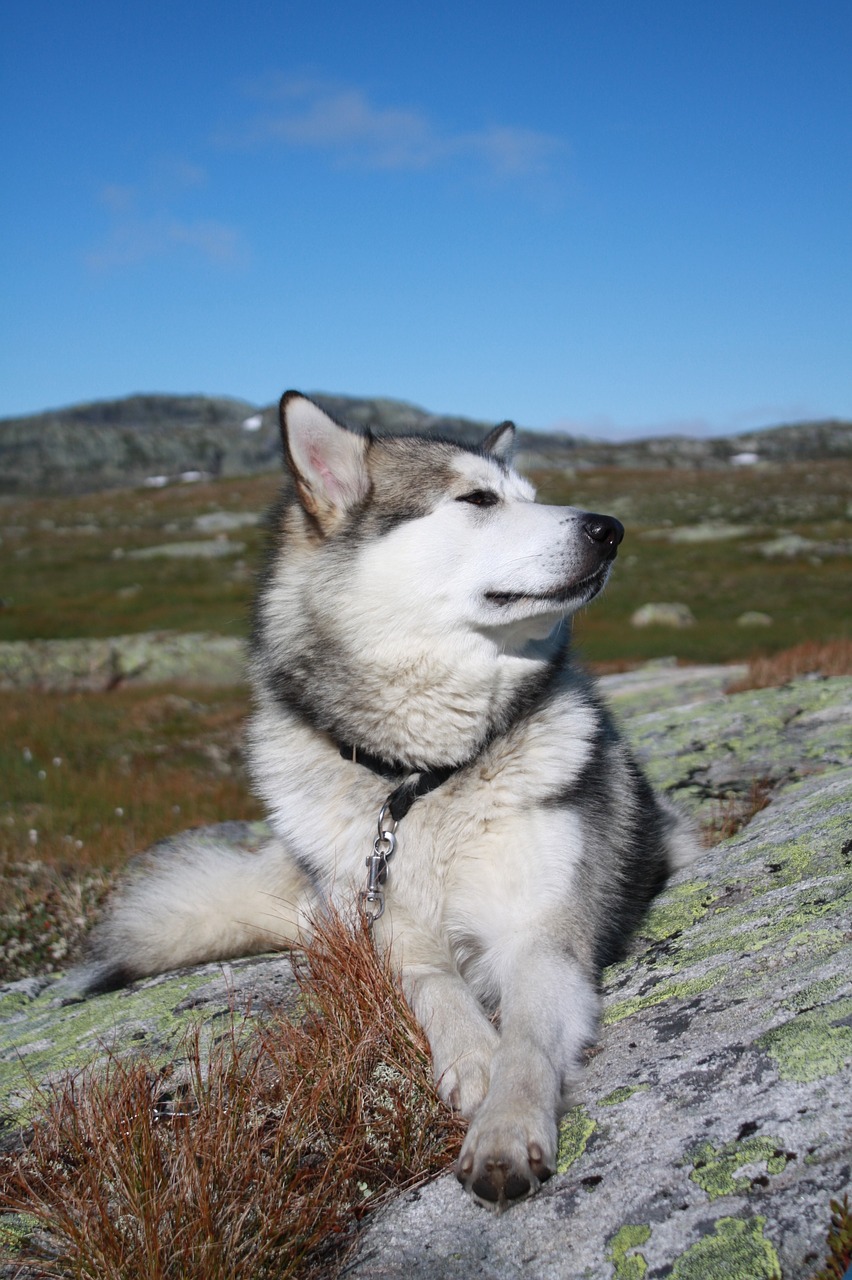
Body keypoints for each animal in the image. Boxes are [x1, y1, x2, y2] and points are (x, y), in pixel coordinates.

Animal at [79, 391, 690, 1208]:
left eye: (532, 496)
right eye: (479, 499)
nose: (610, 528)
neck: (420, 777)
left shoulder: (542, 934)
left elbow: (527, 1042)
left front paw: (505, 1127)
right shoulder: (392, 932)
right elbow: (437, 990)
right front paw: (472, 1058)